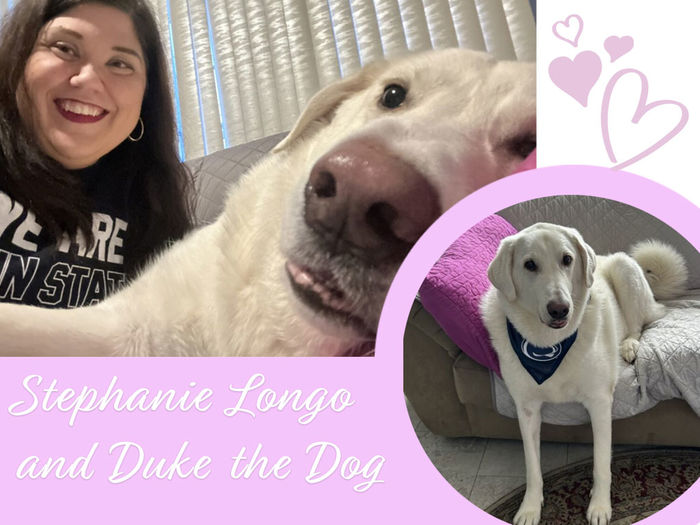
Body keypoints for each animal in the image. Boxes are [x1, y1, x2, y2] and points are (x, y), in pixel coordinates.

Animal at [478, 222, 688, 524]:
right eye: (529, 265)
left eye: (567, 259)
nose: (560, 309)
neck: (548, 345)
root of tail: (602, 256)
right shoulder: (526, 409)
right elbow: (532, 466)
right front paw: (530, 508)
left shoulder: (599, 403)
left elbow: (601, 462)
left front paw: (599, 506)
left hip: (625, 271)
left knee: (639, 325)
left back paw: (629, 346)